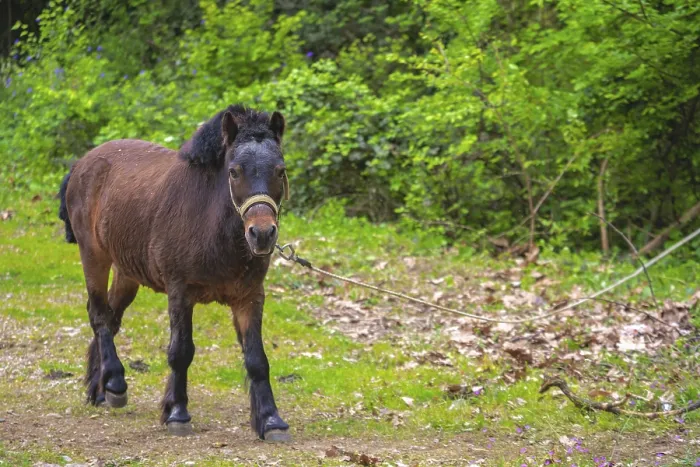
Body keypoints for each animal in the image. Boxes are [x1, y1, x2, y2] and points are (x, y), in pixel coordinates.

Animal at [58, 105, 291, 441]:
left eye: (280, 170)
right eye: (234, 171)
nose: (262, 234)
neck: (210, 223)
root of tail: (82, 163)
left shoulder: (249, 297)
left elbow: (257, 358)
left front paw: (271, 420)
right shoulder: (180, 293)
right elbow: (181, 352)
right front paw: (177, 414)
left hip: (127, 273)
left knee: (111, 317)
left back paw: (99, 388)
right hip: (94, 256)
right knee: (100, 315)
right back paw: (114, 384)